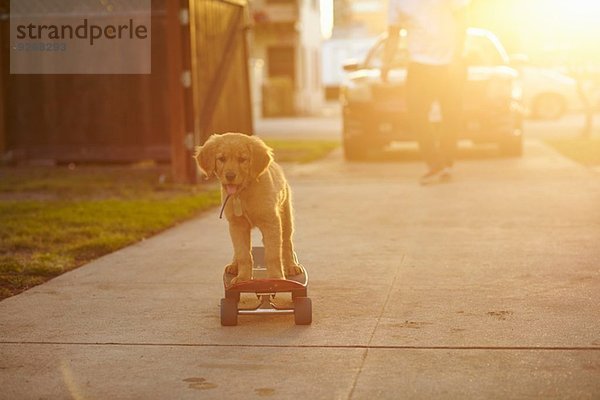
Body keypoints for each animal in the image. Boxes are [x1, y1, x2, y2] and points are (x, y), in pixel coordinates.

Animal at [195, 133, 302, 282]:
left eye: (242, 159)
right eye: (221, 159)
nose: (230, 176)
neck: (242, 193)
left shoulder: (271, 223)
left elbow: (273, 254)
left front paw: (276, 278)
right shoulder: (237, 225)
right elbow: (243, 254)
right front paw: (243, 278)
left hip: (286, 217)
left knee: (286, 243)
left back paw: (292, 266)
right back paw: (234, 265)